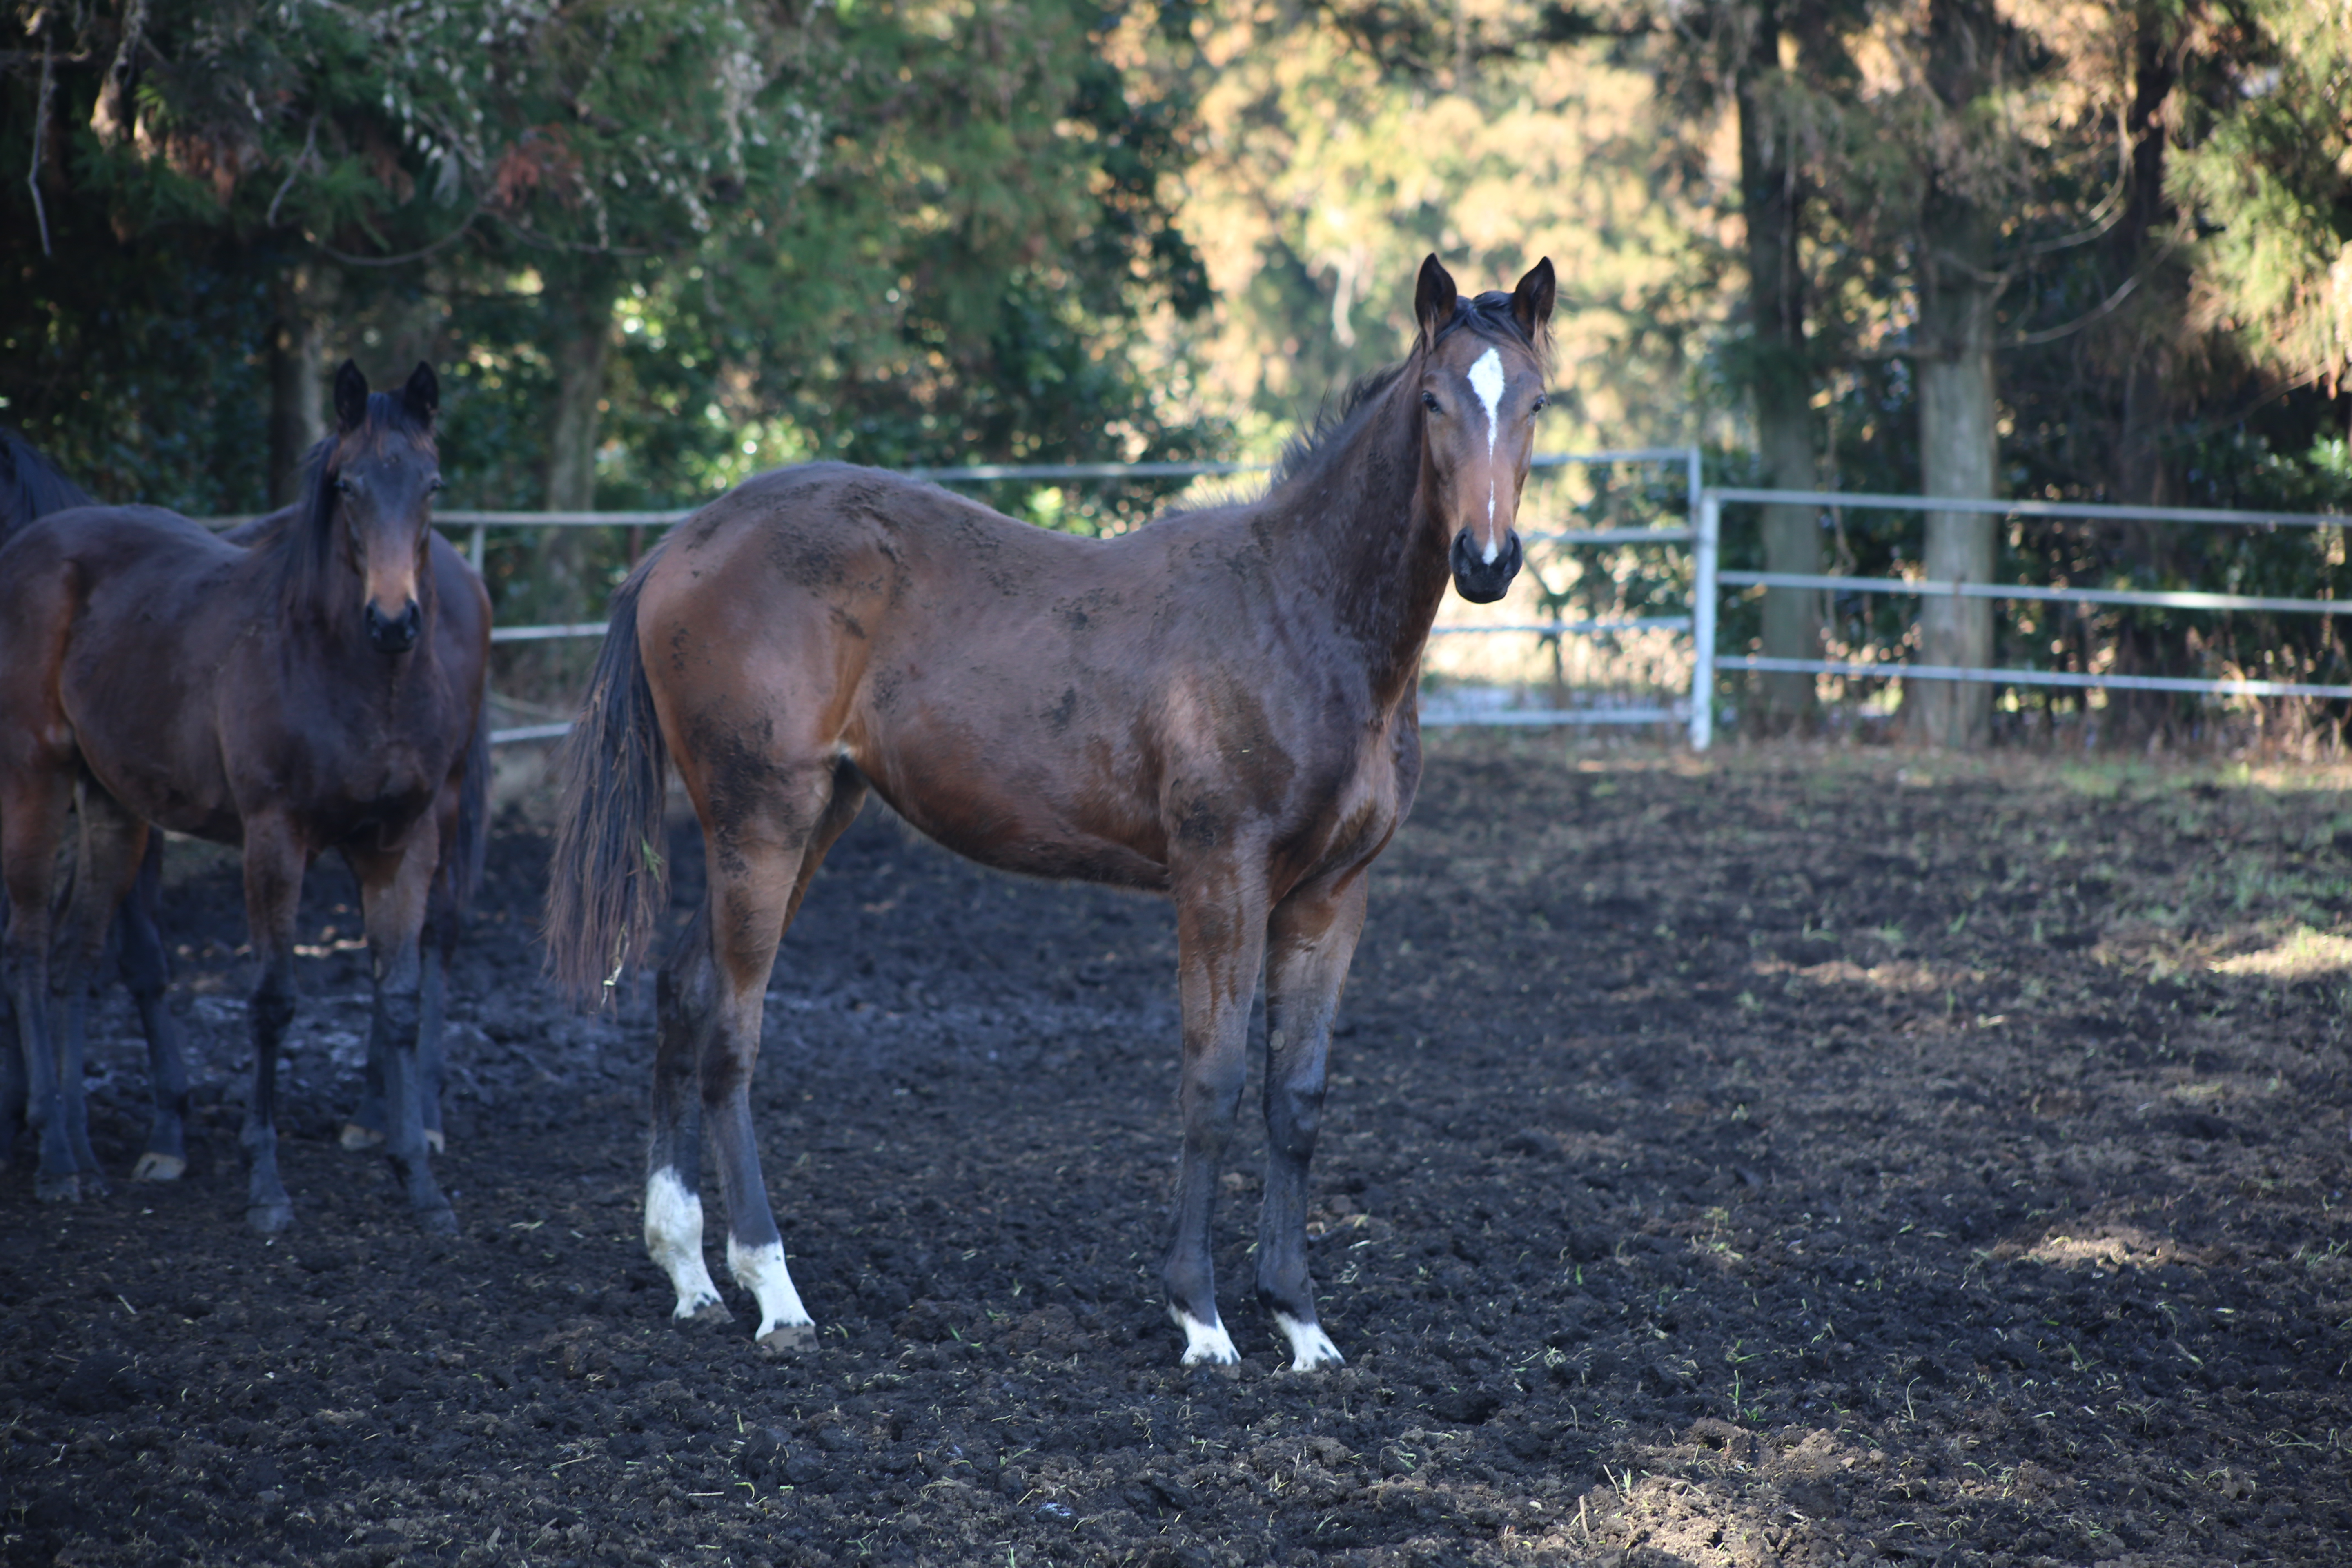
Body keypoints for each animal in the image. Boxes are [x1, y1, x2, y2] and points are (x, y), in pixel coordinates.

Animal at [0, 362, 487, 1232]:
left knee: (72, 958)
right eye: (348, 486)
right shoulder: (274, 838)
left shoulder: (400, 843)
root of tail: (30, 549)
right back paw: (56, 1160)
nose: (394, 621)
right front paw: (265, 1186)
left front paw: (421, 1185)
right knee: (26, 953)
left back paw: (80, 1154)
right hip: (34, 783)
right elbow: (271, 1000)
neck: (345, 672)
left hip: (113, 809)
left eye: (431, 484)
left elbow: (397, 997)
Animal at [543, 255, 1552, 1363]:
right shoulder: (1219, 876)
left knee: (684, 989)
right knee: (731, 1032)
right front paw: (1201, 1320)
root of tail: (677, 549)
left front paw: (1300, 1323)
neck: (1300, 612)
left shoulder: (1333, 893)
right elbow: (1212, 1084)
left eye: (1534, 402)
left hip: (809, 821)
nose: (1487, 561)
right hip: (761, 820)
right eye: (1433, 401)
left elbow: (1296, 1099)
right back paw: (775, 1294)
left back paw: (688, 1273)